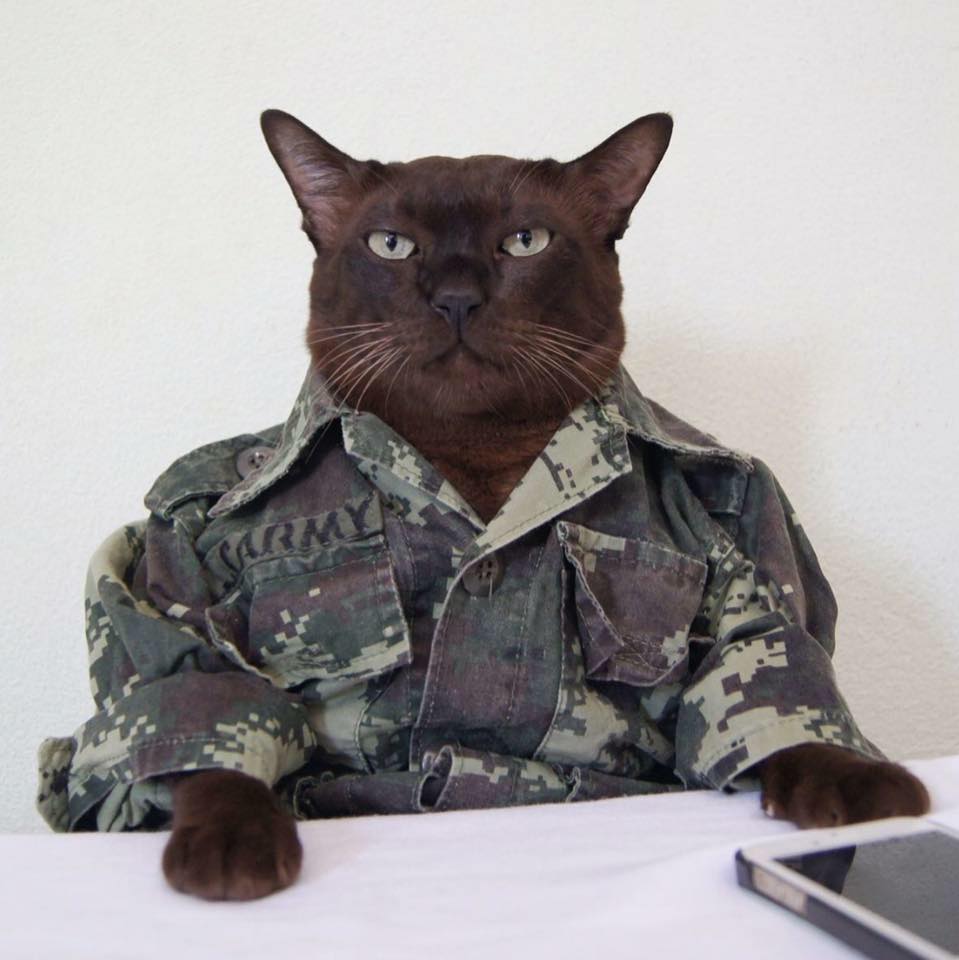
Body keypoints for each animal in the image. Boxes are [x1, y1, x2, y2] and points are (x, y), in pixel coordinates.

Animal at [155, 109, 930, 900]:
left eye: (525, 241)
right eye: (391, 245)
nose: (456, 298)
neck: (478, 455)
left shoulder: (745, 577)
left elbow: (776, 690)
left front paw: (874, 800)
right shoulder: (184, 591)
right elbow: (207, 706)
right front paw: (233, 853)